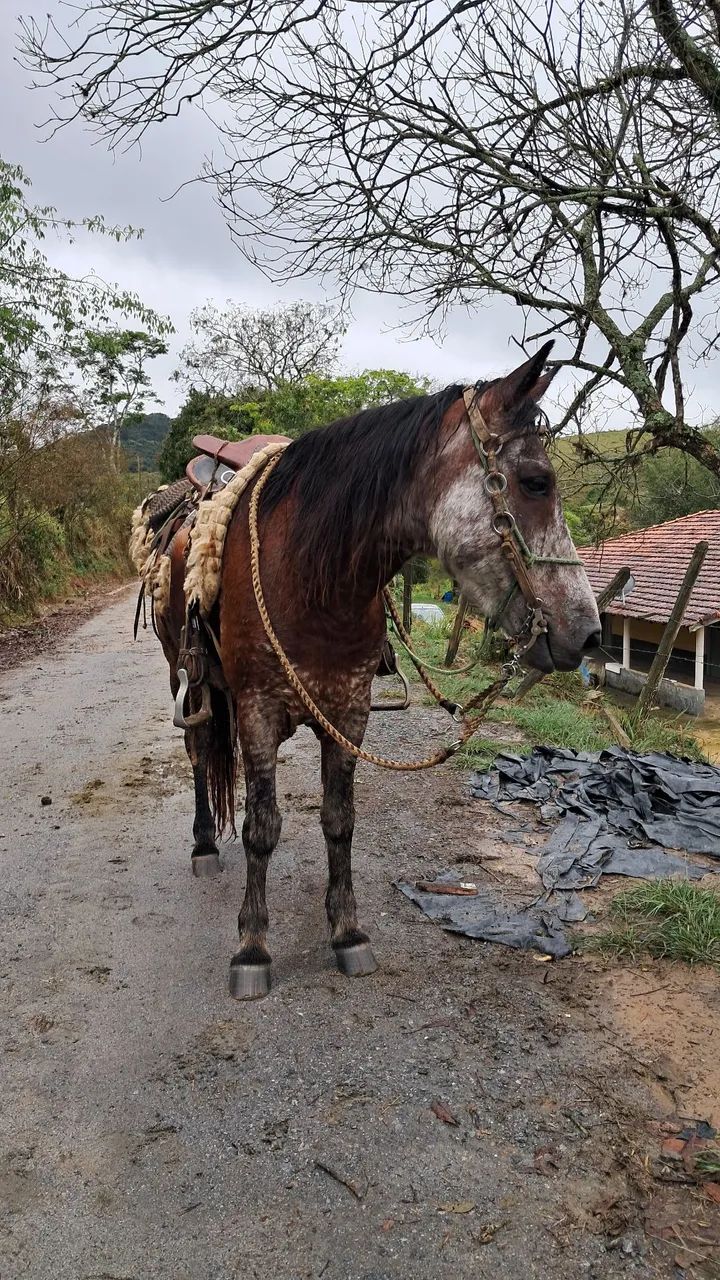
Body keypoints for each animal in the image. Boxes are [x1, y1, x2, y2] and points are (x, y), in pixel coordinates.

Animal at [149, 343, 601, 998]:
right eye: (536, 482)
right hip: (193, 681)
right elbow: (262, 827)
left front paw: (346, 932)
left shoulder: (349, 710)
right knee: (200, 750)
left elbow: (339, 821)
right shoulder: (257, 709)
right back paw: (205, 844)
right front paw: (253, 945)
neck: (313, 574)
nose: (588, 634)